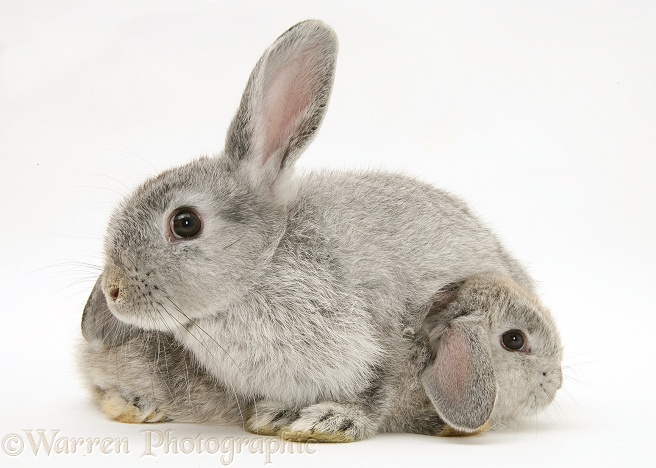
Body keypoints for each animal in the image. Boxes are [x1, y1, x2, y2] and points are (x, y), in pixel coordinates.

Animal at [80, 19, 564, 442]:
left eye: (185, 223)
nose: (114, 291)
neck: (267, 261)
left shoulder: (390, 337)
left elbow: (377, 393)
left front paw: (329, 421)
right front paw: (280, 414)